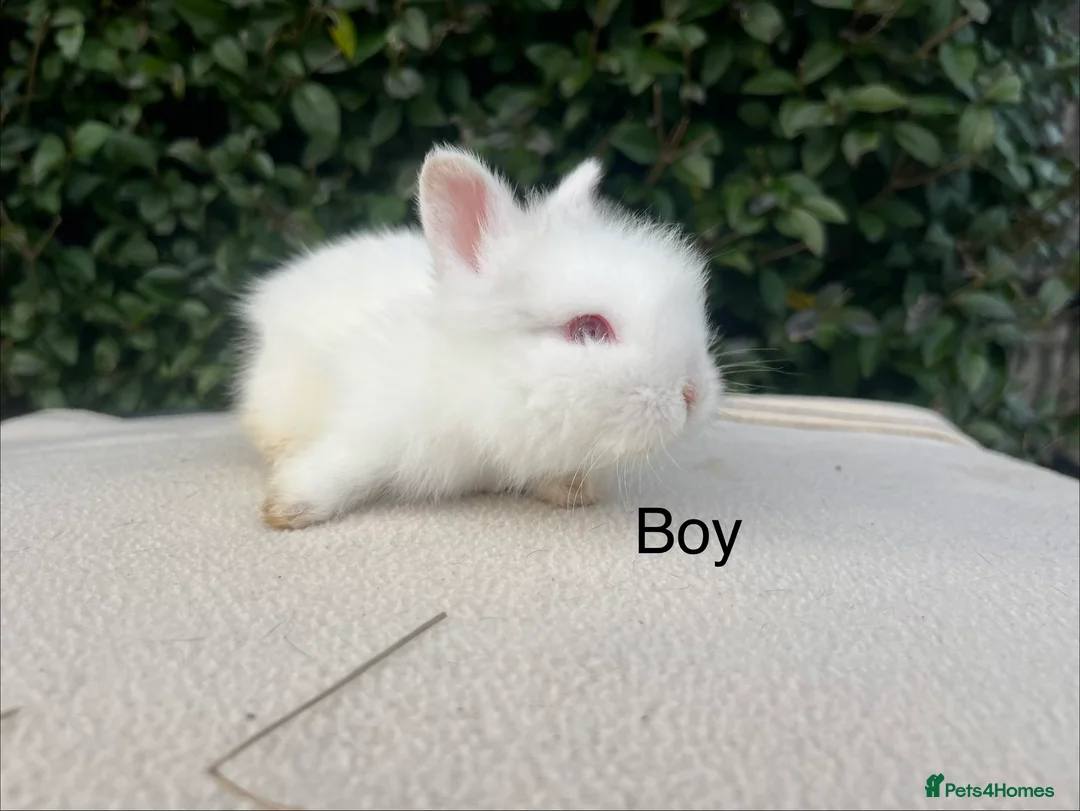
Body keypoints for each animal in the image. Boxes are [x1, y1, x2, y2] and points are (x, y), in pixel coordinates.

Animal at [232, 144, 724, 530]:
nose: (693, 394)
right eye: (588, 329)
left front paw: (570, 491)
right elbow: (346, 462)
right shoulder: (373, 421)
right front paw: (288, 507)